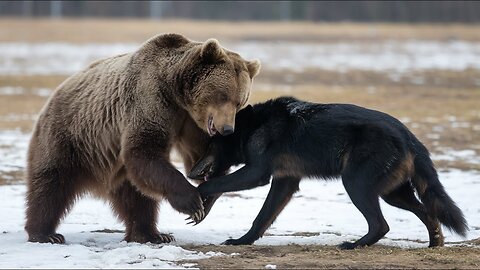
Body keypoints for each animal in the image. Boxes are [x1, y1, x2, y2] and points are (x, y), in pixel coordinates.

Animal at [24, 33, 260, 245]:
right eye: (223, 96)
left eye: (240, 101)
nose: (227, 129)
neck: (176, 93)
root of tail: (55, 93)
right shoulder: (150, 100)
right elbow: (144, 149)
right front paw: (192, 202)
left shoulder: (190, 122)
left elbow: (198, 156)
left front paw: (207, 194)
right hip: (69, 136)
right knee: (51, 185)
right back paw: (45, 234)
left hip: (115, 166)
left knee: (136, 198)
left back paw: (151, 234)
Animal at [188, 96, 468, 249]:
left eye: (208, 145)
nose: (190, 172)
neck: (254, 125)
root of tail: (409, 136)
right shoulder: (284, 182)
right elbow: (262, 217)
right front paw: (243, 241)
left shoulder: (256, 174)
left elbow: (214, 184)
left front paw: (198, 197)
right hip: (393, 194)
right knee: (428, 214)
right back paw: (435, 244)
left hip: (356, 185)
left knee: (381, 224)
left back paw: (353, 245)